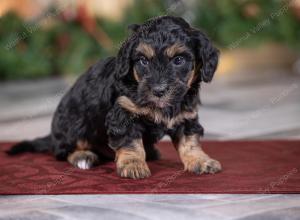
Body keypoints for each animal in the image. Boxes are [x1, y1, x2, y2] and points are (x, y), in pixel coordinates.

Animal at [8, 16, 221, 179]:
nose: (159, 90)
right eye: (143, 61)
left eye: (179, 60)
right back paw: (82, 157)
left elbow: (189, 142)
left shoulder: (186, 116)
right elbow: (130, 142)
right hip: (73, 124)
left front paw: (201, 161)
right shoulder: (123, 113)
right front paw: (133, 164)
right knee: (64, 151)